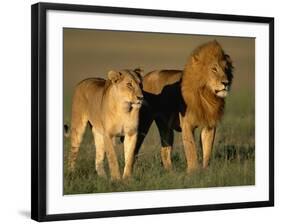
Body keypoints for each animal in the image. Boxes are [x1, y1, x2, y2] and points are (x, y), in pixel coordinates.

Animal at [135, 41, 232, 172]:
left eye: (226, 70)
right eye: (214, 69)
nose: (226, 83)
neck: (206, 96)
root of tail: (144, 77)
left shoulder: (209, 125)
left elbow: (207, 150)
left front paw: (206, 170)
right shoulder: (187, 124)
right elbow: (191, 149)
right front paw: (193, 171)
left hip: (165, 127)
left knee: (165, 150)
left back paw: (170, 172)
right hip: (143, 124)